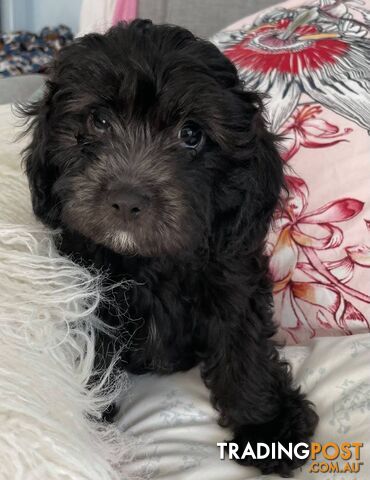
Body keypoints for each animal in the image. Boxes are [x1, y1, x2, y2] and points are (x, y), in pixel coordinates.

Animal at [22, 19, 318, 476]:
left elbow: (243, 343)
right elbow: (93, 357)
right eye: (99, 119)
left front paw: (267, 424)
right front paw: (86, 431)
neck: (149, 261)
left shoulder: (232, 275)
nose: (127, 199)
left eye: (191, 134)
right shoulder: (88, 288)